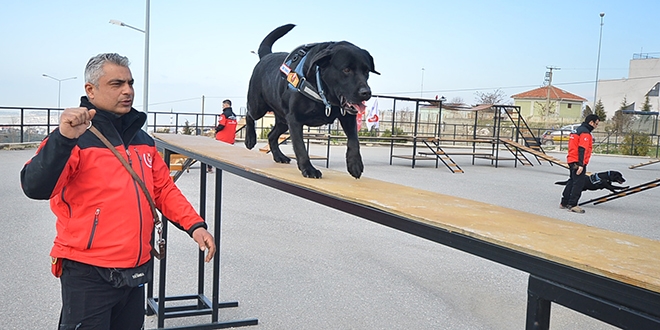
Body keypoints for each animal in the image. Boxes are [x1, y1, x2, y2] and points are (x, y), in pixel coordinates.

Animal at [244, 23, 378, 179]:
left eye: (366, 71)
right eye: (346, 70)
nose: (366, 92)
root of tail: (266, 56)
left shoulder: (348, 117)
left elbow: (354, 140)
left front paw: (355, 164)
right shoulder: (294, 119)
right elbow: (300, 147)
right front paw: (308, 169)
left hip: (283, 121)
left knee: (271, 136)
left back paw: (279, 156)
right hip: (258, 107)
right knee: (249, 115)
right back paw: (250, 139)